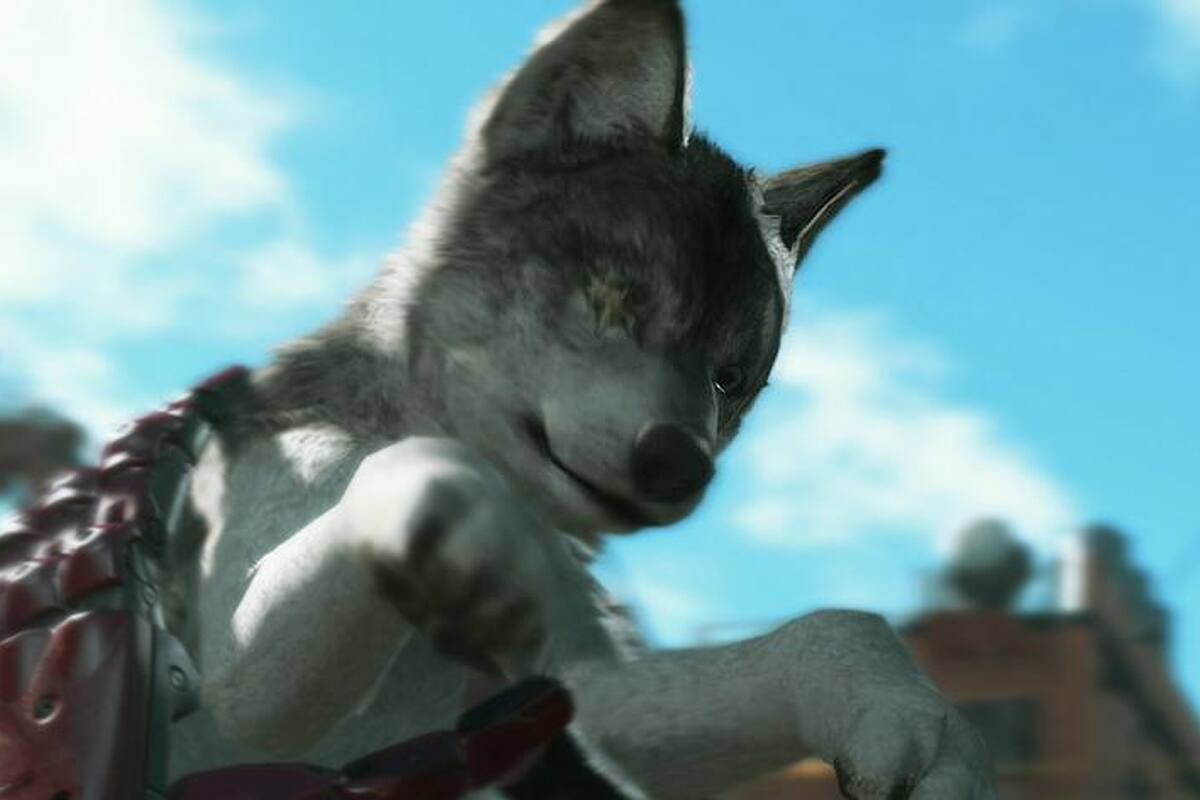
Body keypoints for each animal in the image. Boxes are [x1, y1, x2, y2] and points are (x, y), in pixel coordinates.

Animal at [165, 1, 996, 798]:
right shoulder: (241, 671)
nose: (680, 465)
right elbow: (416, 475)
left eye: (728, 379)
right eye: (614, 296)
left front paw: (911, 722)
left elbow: (834, 631)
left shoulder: (575, 692)